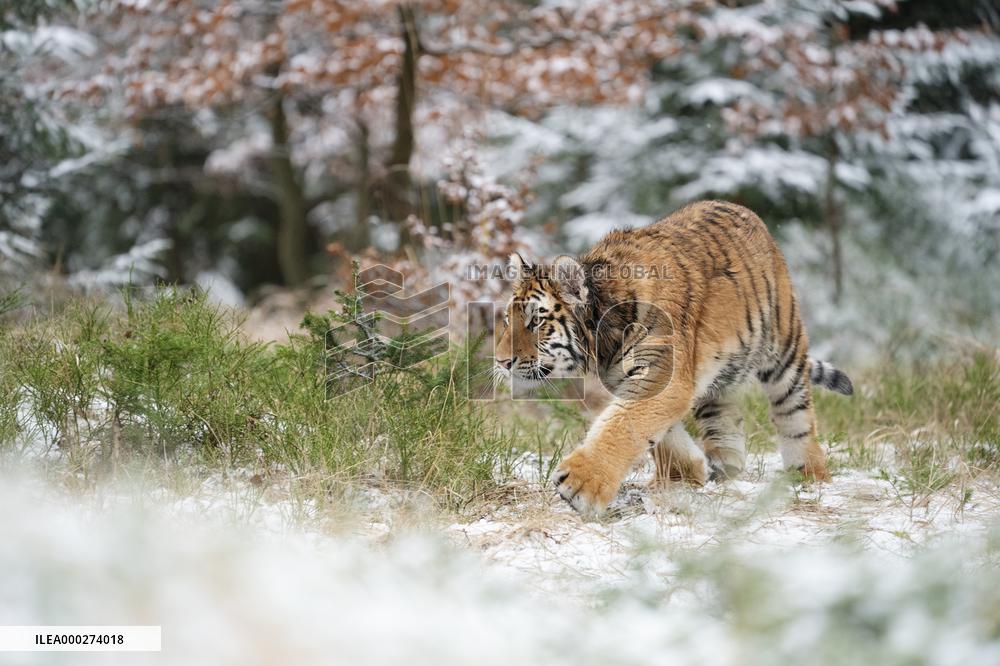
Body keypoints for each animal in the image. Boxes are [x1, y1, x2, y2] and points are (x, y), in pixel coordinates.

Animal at [494, 200, 853, 516]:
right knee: (724, 420)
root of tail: (750, 214)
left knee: (795, 414)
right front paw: (686, 475)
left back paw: (807, 474)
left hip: (783, 350)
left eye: (536, 322)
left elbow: (623, 425)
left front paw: (580, 484)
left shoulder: (661, 374)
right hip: (721, 378)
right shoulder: (635, 378)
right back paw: (727, 468)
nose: (500, 362)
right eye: (509, 319)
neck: (603, 337)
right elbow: (658, 434)